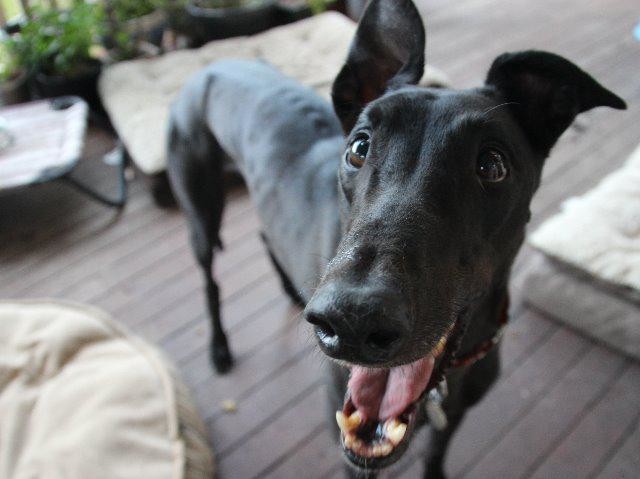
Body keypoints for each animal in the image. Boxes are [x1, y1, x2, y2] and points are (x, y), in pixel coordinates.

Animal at [167, 0, 626, 476]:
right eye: (358, 147)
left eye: (492, 165)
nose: (350, 320)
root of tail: (212, 62)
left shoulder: (453, 417)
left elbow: (435, 454)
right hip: (200, 208)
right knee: (210, 279)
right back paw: (220, 347)